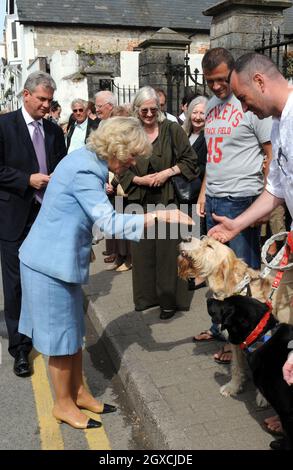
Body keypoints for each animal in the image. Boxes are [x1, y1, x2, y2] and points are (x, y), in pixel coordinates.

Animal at [177, 235, 292, 400]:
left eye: (210, 246)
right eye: (202, 238)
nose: (185, 238)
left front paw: (263, 397)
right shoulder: (236, 340)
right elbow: (236, 366)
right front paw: (233, 387)